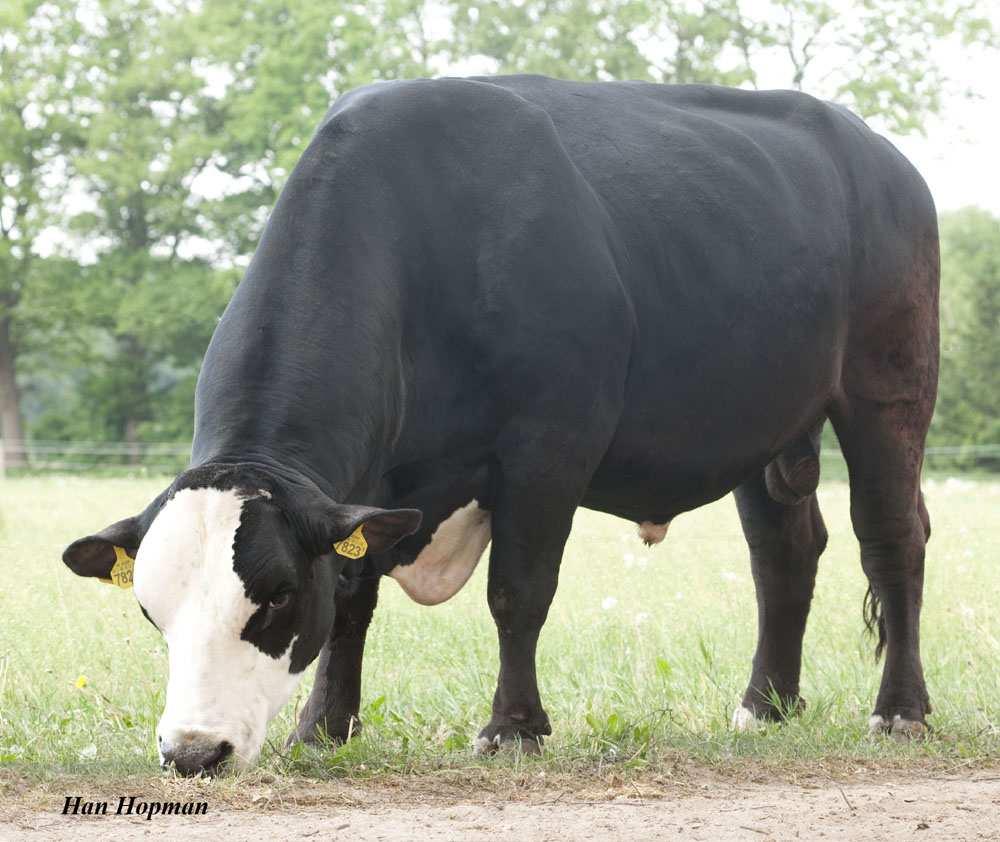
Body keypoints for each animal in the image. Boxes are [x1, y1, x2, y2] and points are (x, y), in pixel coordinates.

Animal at [60, 75, 936, 772]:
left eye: (274, 597)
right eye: (150, 608)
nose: (192, 751)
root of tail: (879, 154)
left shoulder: (548, 449)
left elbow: (517, 592)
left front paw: (513, 727)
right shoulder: (368, 487)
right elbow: (350, 598)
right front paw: (323, 726)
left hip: (888, 390)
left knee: (892, 538)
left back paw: (900, 709)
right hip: (764, 426)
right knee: (783, 553)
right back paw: (765, 707)